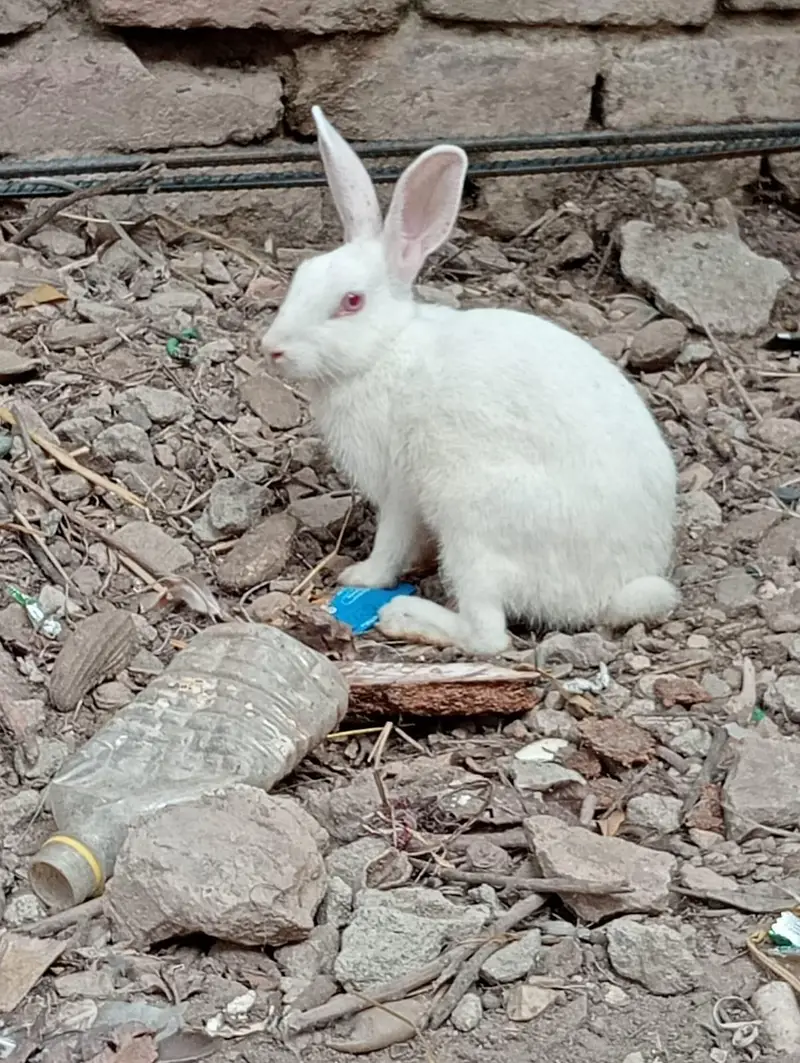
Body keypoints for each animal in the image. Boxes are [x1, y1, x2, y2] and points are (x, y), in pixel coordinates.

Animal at [261, 105, 679, 656]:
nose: (272, 348)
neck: (386, 349)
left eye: (351, 302)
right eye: (302, 275)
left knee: (489, 636)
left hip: (473, 523)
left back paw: (406, 616)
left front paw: (361, 576)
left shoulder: (400, 489)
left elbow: (390, 544)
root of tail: (609, 593)